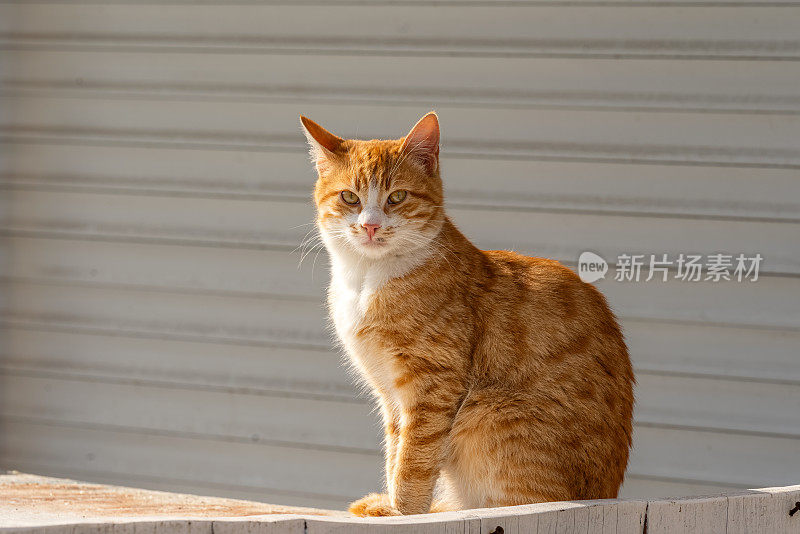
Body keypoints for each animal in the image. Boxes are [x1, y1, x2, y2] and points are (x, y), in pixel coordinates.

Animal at [296, 113, 636, 520]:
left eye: (397, 197)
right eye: (350, 197)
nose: (371, 225)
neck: (366, 279)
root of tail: (608, 495)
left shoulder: (432, 385)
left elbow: (413, 458)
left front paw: (403, 512)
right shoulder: (391, 395)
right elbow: (395, 450)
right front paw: (390, 503)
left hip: (488, 411)